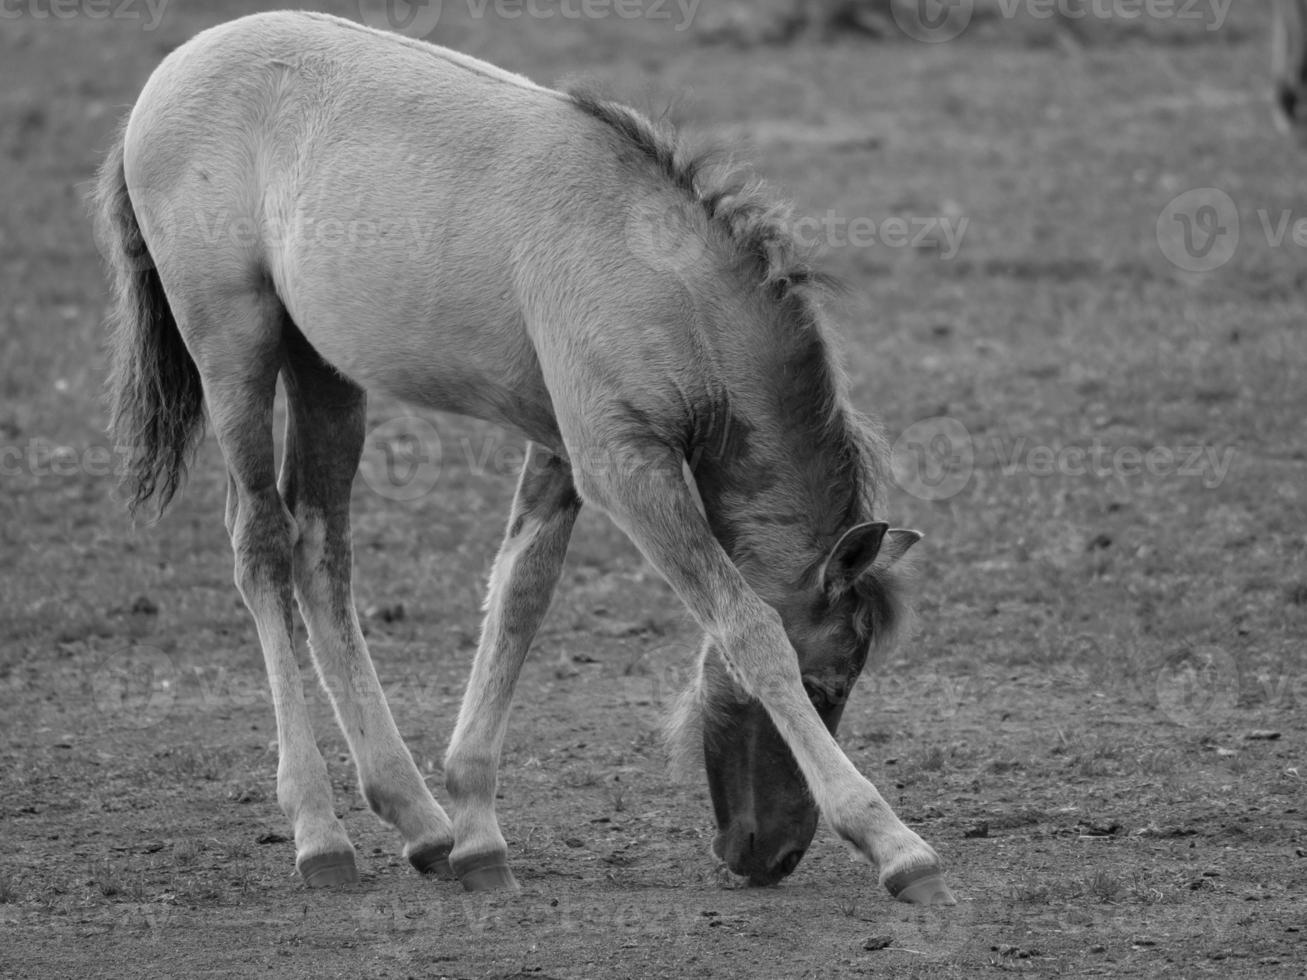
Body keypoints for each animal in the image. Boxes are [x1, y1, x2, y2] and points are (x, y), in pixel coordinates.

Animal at [89, 9, 951, 914]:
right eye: (827, 687)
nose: (767, 855)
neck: (662, 277)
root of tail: (171, 73)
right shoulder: (622, 466)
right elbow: (747, 629)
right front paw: (896, 846)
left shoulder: (561, 449)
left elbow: (518, 600)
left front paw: (476, 831)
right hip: (235, 348)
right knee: (259, 545)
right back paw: (319, 834)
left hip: (322, 369)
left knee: (320, 548)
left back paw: (418, 820)